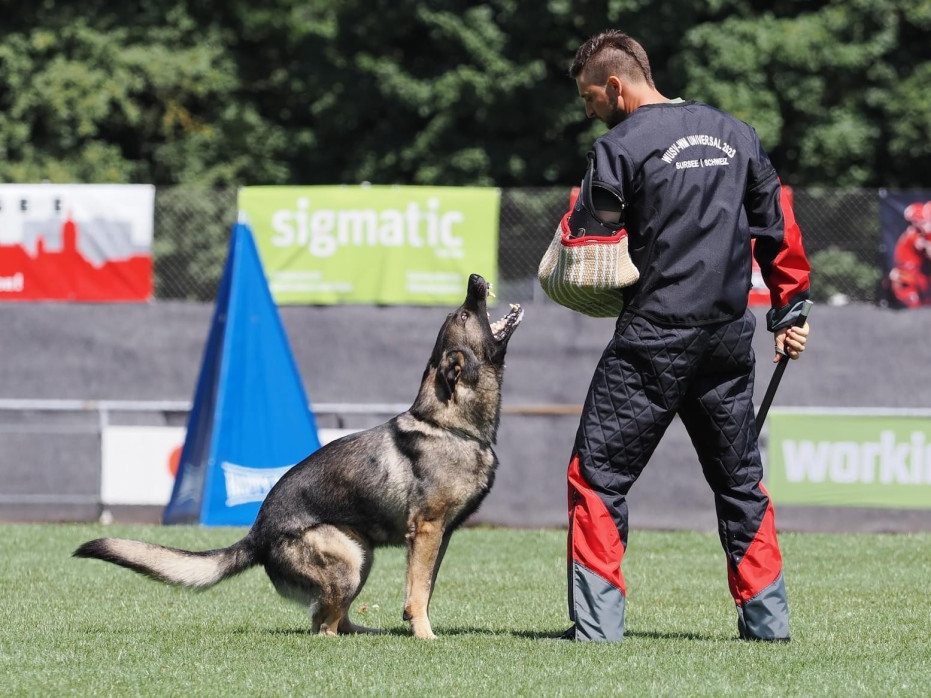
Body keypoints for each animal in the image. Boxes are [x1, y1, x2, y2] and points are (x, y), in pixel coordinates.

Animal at [74, 273, 522, 639]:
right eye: (464, 313)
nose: (475, 277)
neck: (450, 424)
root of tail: (257, 534)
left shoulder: (440, 536)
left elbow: (424, 589)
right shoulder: (427, 531)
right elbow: (417, 593)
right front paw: (425, 636)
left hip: (362, 555)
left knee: (332, 620)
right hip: (349, 561)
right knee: (322, 627)